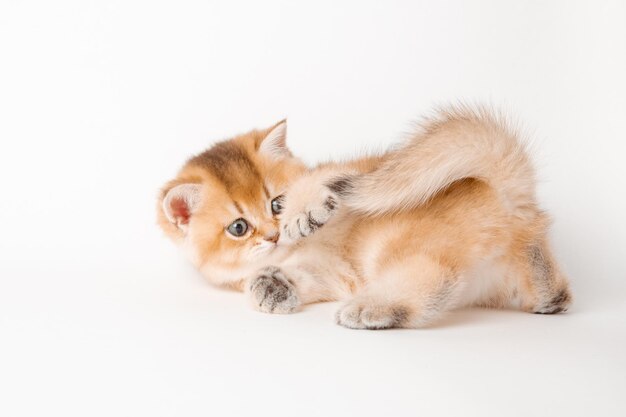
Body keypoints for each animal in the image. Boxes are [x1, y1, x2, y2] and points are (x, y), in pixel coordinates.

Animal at [157, 106, 572, 328]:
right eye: (238, 228)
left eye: (277, 203)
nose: (274, 235)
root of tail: (505, 192)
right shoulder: (330, 273)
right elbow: (298, 277)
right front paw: (272, 287)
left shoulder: (360, 174)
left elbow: (333, 180)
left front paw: (305, 210)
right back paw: (548, 291)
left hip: (392, 240)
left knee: (435, 277)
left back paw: (369, 308)